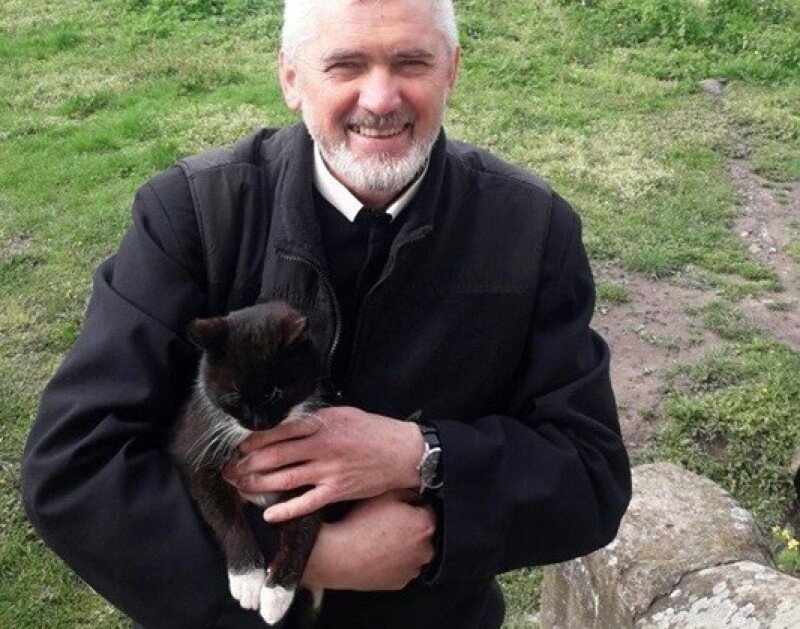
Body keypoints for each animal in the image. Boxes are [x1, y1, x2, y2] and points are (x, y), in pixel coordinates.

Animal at [169, 301, 325, 627]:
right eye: (234, 396)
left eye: (277, 392)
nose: (259, 423)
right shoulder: (196, 453)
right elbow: (224, 514)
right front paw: (248, 579)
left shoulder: (311, 466)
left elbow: (304, 526)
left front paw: (277, 594)